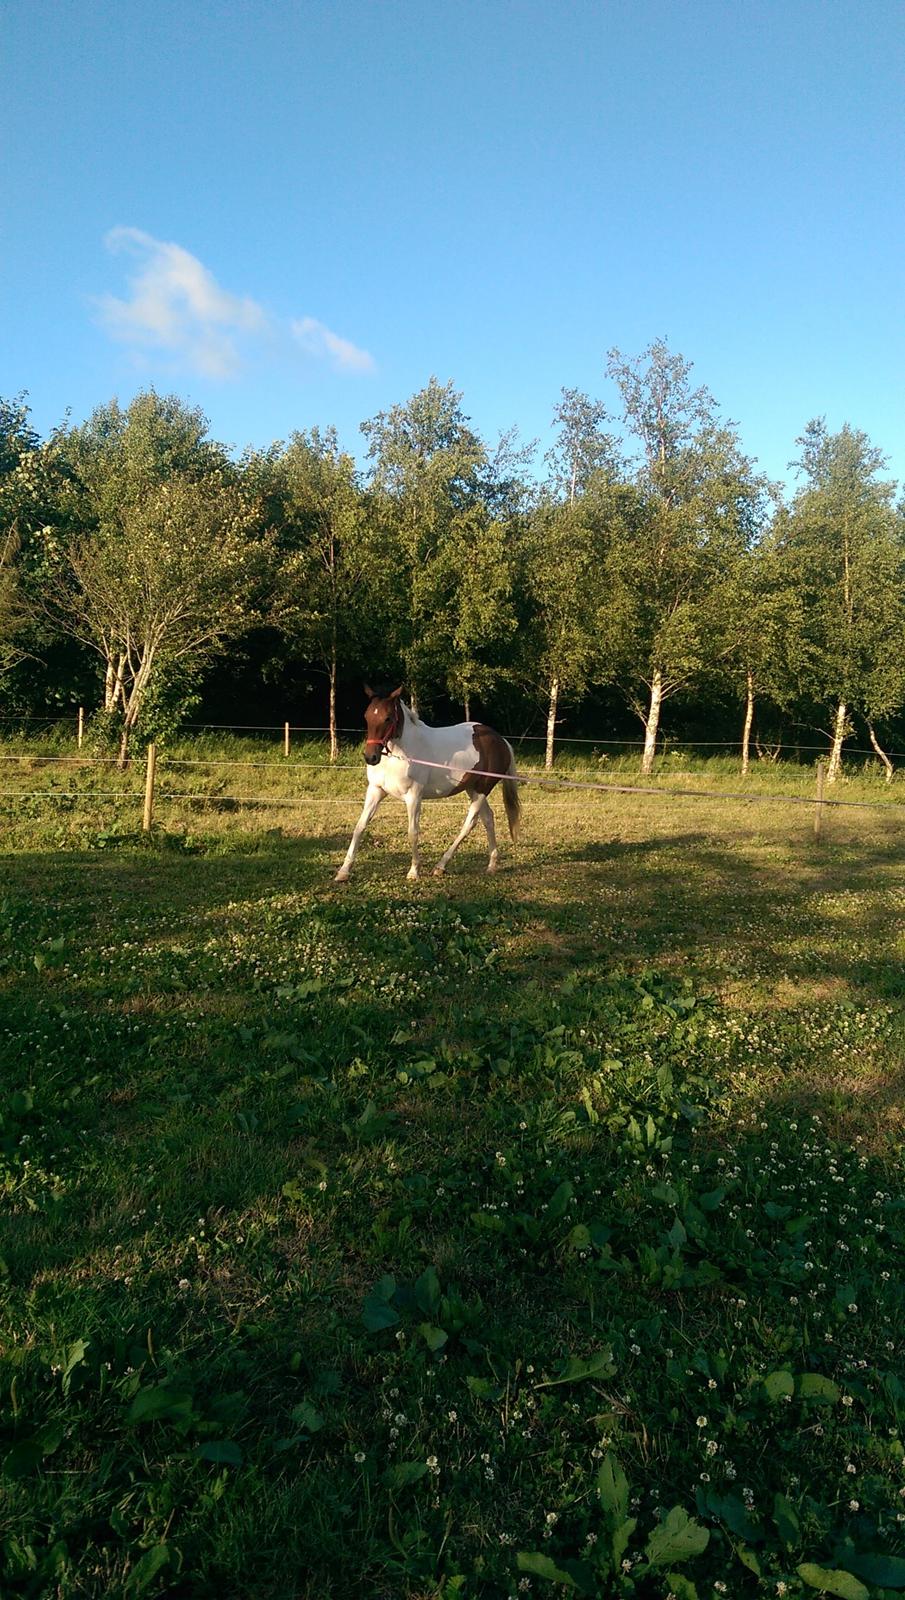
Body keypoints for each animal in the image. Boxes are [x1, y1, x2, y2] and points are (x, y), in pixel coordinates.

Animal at [335, 681, 524, 883]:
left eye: (388, 718)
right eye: (367, 716)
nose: (371, 757)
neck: (400, 755)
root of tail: (501, 740)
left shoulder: (413, 796)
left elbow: (413, 832)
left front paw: (414, 871)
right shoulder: (376, 791)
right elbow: (359, 827)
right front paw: (344, 871)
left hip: (482, 789)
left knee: (470, 822)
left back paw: (441, 866)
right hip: (471, 788)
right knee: (488, 818)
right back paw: (492, 865)